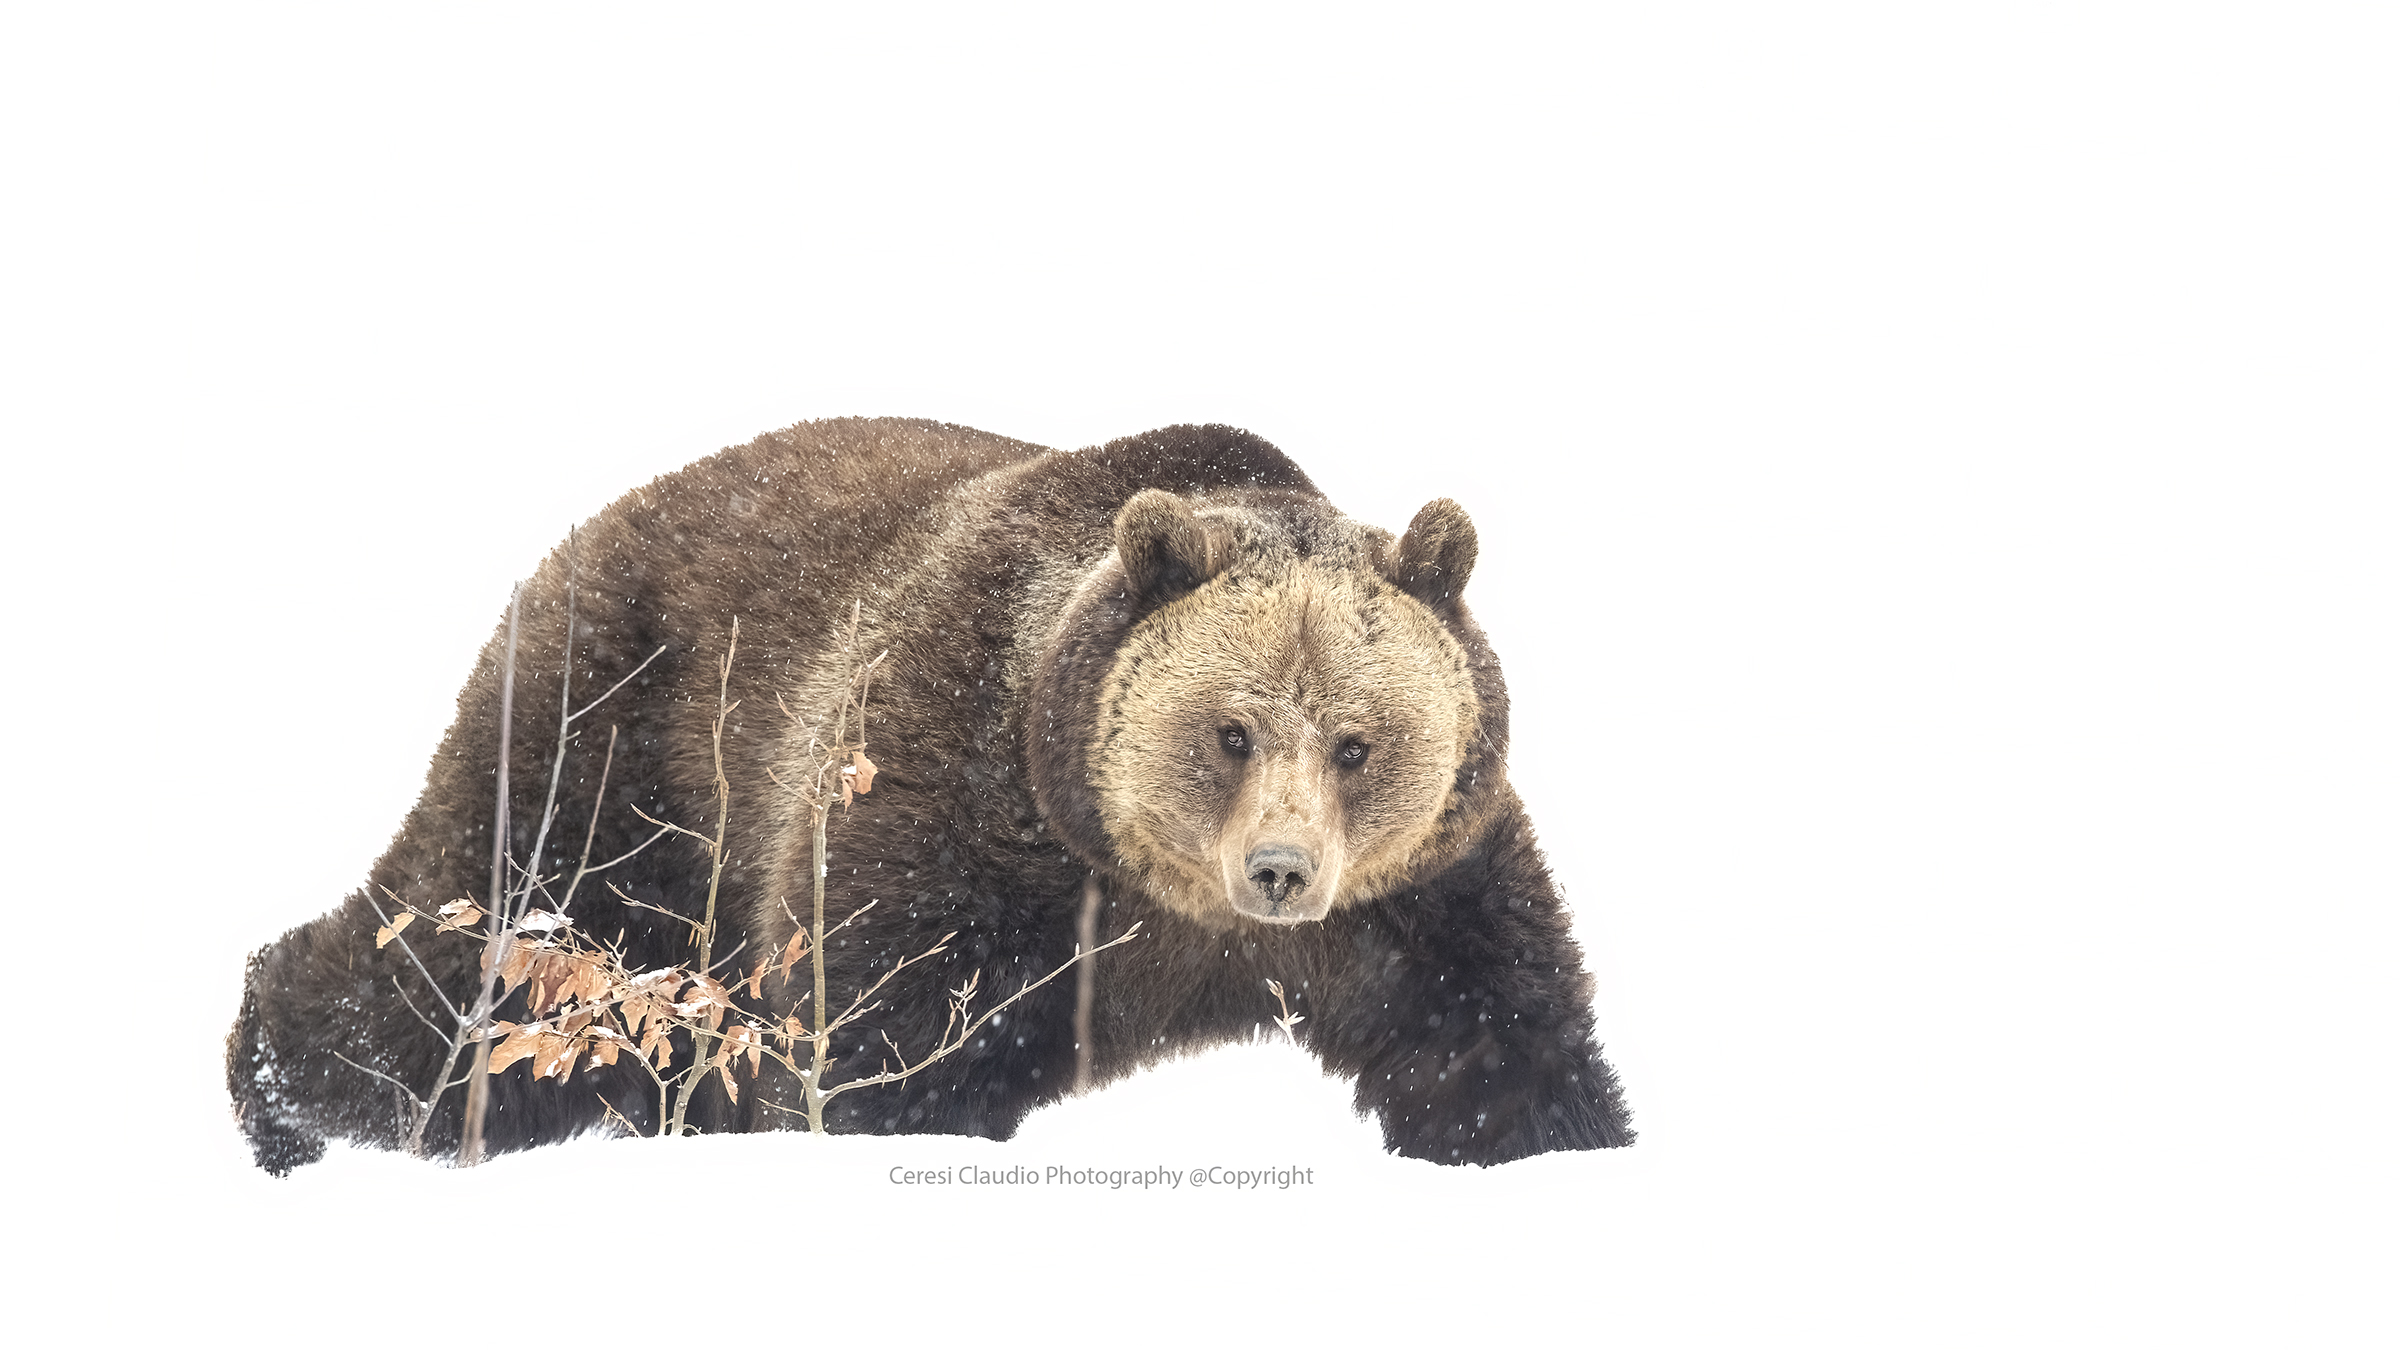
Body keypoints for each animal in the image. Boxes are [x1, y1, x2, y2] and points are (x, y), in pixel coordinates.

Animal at [228, 417, 1633, 1172]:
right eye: (1231, 731)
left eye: (1355, 741)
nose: (1280, 871)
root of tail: (583, 532)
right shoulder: (953, 811)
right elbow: (882, 1041)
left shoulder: (1418, 890)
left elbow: (1495, 1027)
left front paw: (1556, 1134)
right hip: (624, 760)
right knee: (470, 959)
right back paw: (279, 1091)